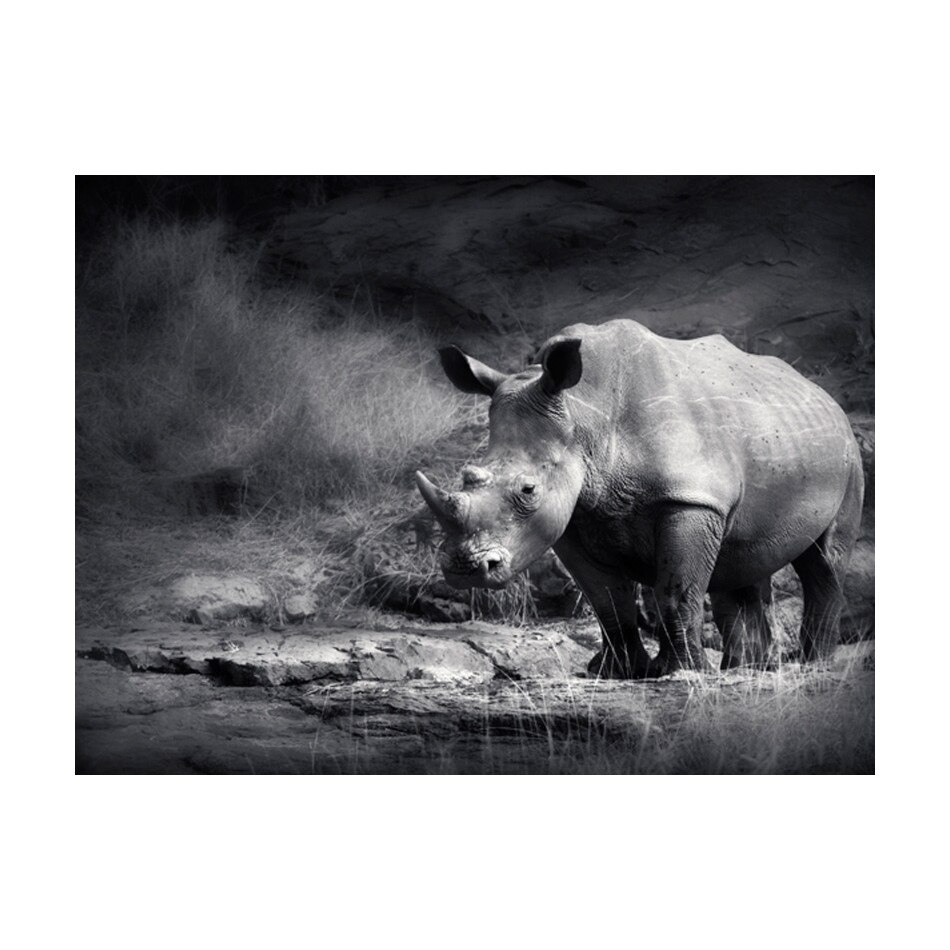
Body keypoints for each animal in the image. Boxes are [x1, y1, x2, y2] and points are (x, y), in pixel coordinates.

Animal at [415, 319, 864, 678]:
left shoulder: (690, 499)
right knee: (742, 563)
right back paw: (747, 669)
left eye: (528, 490)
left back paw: (812, 665)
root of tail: (821, 393)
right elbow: (608, 603)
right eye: (467, 477)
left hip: (847, 455)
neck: (585, 415)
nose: (465, 569)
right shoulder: (574, 518)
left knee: (822, 562)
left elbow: (675, 592)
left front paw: (683, 673)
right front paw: (617, 673)